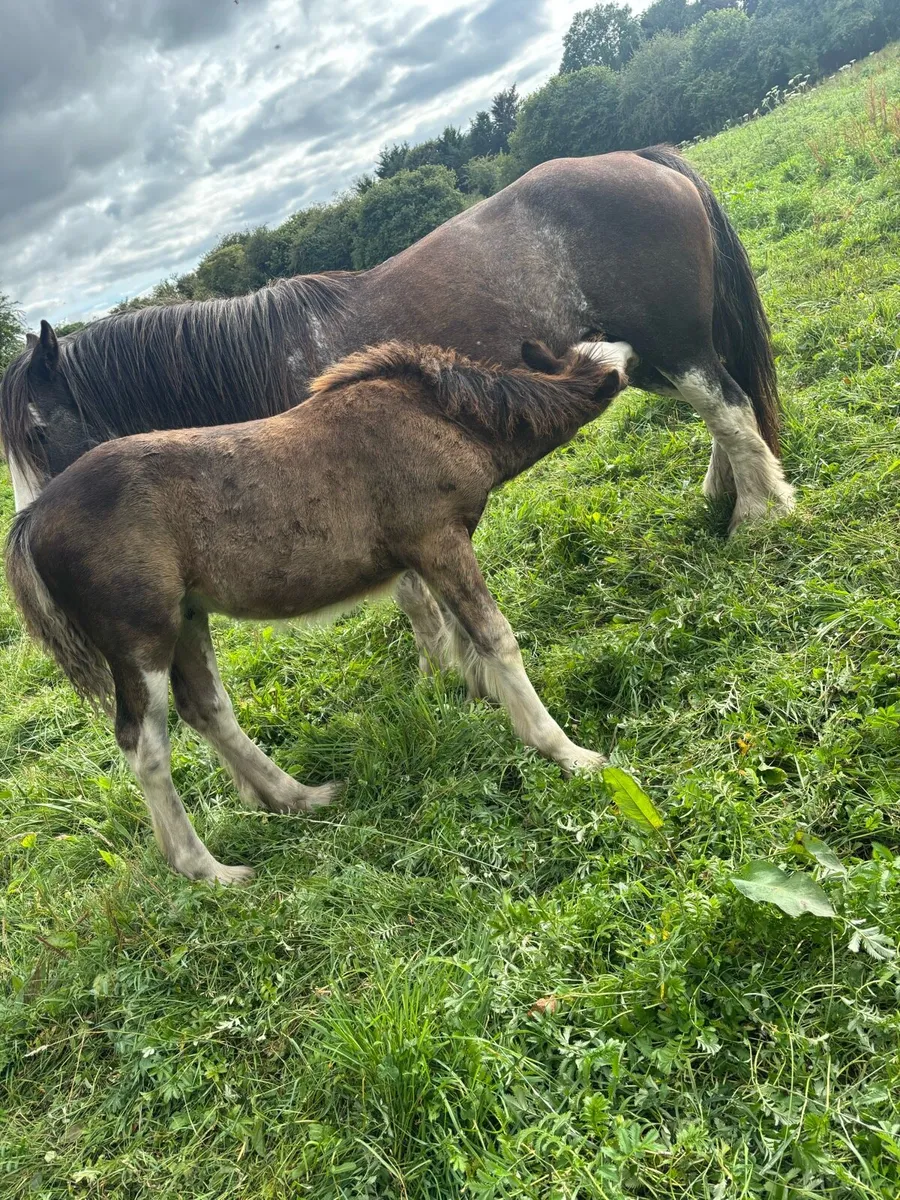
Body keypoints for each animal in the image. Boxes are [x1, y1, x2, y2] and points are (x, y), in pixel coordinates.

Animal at [1, 147, 794, 536]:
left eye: (36, 432)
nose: (32, 529)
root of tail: (645, 158)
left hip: (677, 346)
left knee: (728, 409)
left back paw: (756, 518)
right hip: (649, 355)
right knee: (727, 415)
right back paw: (726, 494)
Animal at [6, 338, 631, 883]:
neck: (441, 414)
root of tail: (32, 518)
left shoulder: (438, 552)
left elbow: (463, 637)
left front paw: (480, 700)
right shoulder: (436, 541)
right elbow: (495, 638)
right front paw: (567, 752)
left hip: (186, 620)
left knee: (208, 709)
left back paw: (297, 798)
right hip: (141, 639)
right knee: (145, 746)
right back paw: (207, 870)